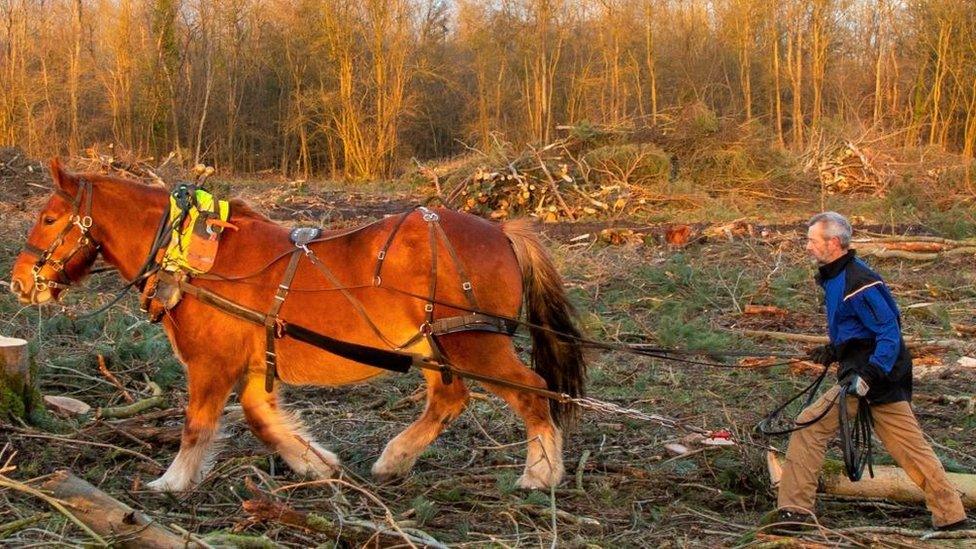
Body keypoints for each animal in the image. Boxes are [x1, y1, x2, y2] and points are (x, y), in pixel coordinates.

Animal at [7, 161, 584, 490]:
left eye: (51, 219)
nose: (17, 281)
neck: (192, 257)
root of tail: (502, 230)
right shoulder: (253, 365)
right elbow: (263, 420)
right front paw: (315, 465)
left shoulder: (210, 365)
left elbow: (196, 426)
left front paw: (171, 482)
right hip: (433, 347)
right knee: (450, 399)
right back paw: (394, 461)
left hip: (473, 343)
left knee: (533, 391)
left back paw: (539, 474)